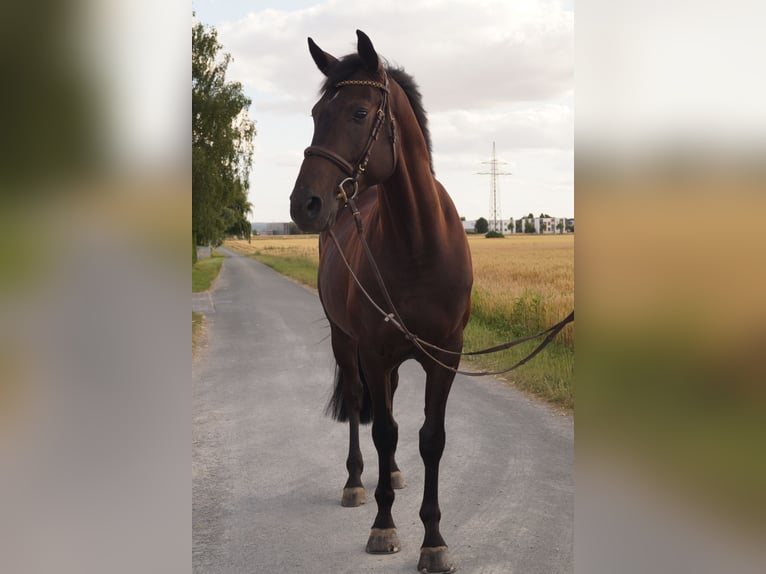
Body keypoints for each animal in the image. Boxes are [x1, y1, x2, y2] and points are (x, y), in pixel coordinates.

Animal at [290, 30, 473, 574]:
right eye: (316, 113)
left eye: (358, 112)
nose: (304, 204)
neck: (418, 244)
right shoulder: (370, 350)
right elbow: (384, 431)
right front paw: (384, 526)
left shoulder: (445, 356)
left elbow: (431, 438)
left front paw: (433, 540)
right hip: (345, 343)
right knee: (357, 404)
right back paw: (357, 483)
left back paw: (389, 475)